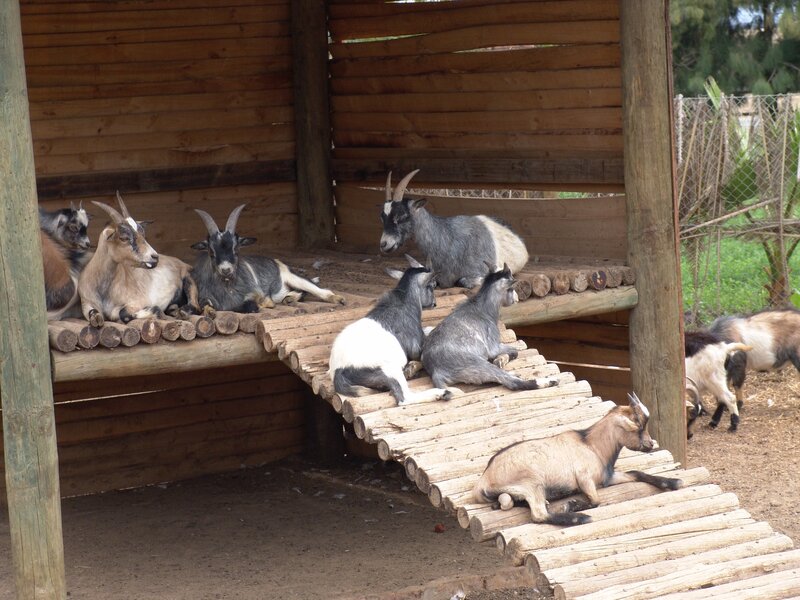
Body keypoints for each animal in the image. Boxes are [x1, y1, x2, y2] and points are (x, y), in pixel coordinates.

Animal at [78, 193, 200, 327]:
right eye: (123, 238)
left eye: (143, 234)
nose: (154, 257)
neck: (103, 290)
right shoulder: (86, 303)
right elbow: (93, 313)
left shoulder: (138, 302)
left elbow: (123, 313)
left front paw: (156, 311)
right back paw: (173, 309)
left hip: (189, 279)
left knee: (196, 306)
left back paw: (181, 312)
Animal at [191, 205, 344, 312]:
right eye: (211, 252)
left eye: (236, 249)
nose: (226, 269)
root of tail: (276, 261)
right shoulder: (204, 297)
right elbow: (205, 307)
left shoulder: (256, 293)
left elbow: (254, 305)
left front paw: (266, 303)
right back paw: (290, 298)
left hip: (293, 277)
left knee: (321, 291)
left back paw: (339, 299)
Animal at [328, 255, 453, 405]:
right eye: (432, 285)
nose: (435, 304)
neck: (404, 301)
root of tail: (338, 372)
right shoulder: (415, 345)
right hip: (389, 370)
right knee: (404, 398)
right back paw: (440, 393)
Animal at [421, 264, 559, 391]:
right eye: (511, 288)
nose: (516, 299)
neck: (483, 310)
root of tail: (436, 370)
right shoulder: (493, 346)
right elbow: (515, 350)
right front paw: (500, 360)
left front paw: (500, 360)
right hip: (478, 364)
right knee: (512, 382)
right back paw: (549, 381)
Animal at [472, 392, 683, 526]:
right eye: (638, 426)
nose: (650, 444)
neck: (591, 445)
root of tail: (483, 481)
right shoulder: (584, 478)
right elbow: (596, 500)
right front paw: (571, 505)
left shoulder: (607, 477)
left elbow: (637, 473)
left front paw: (673, 482)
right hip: (532, 482)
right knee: (539, 515)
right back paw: (580, 518)